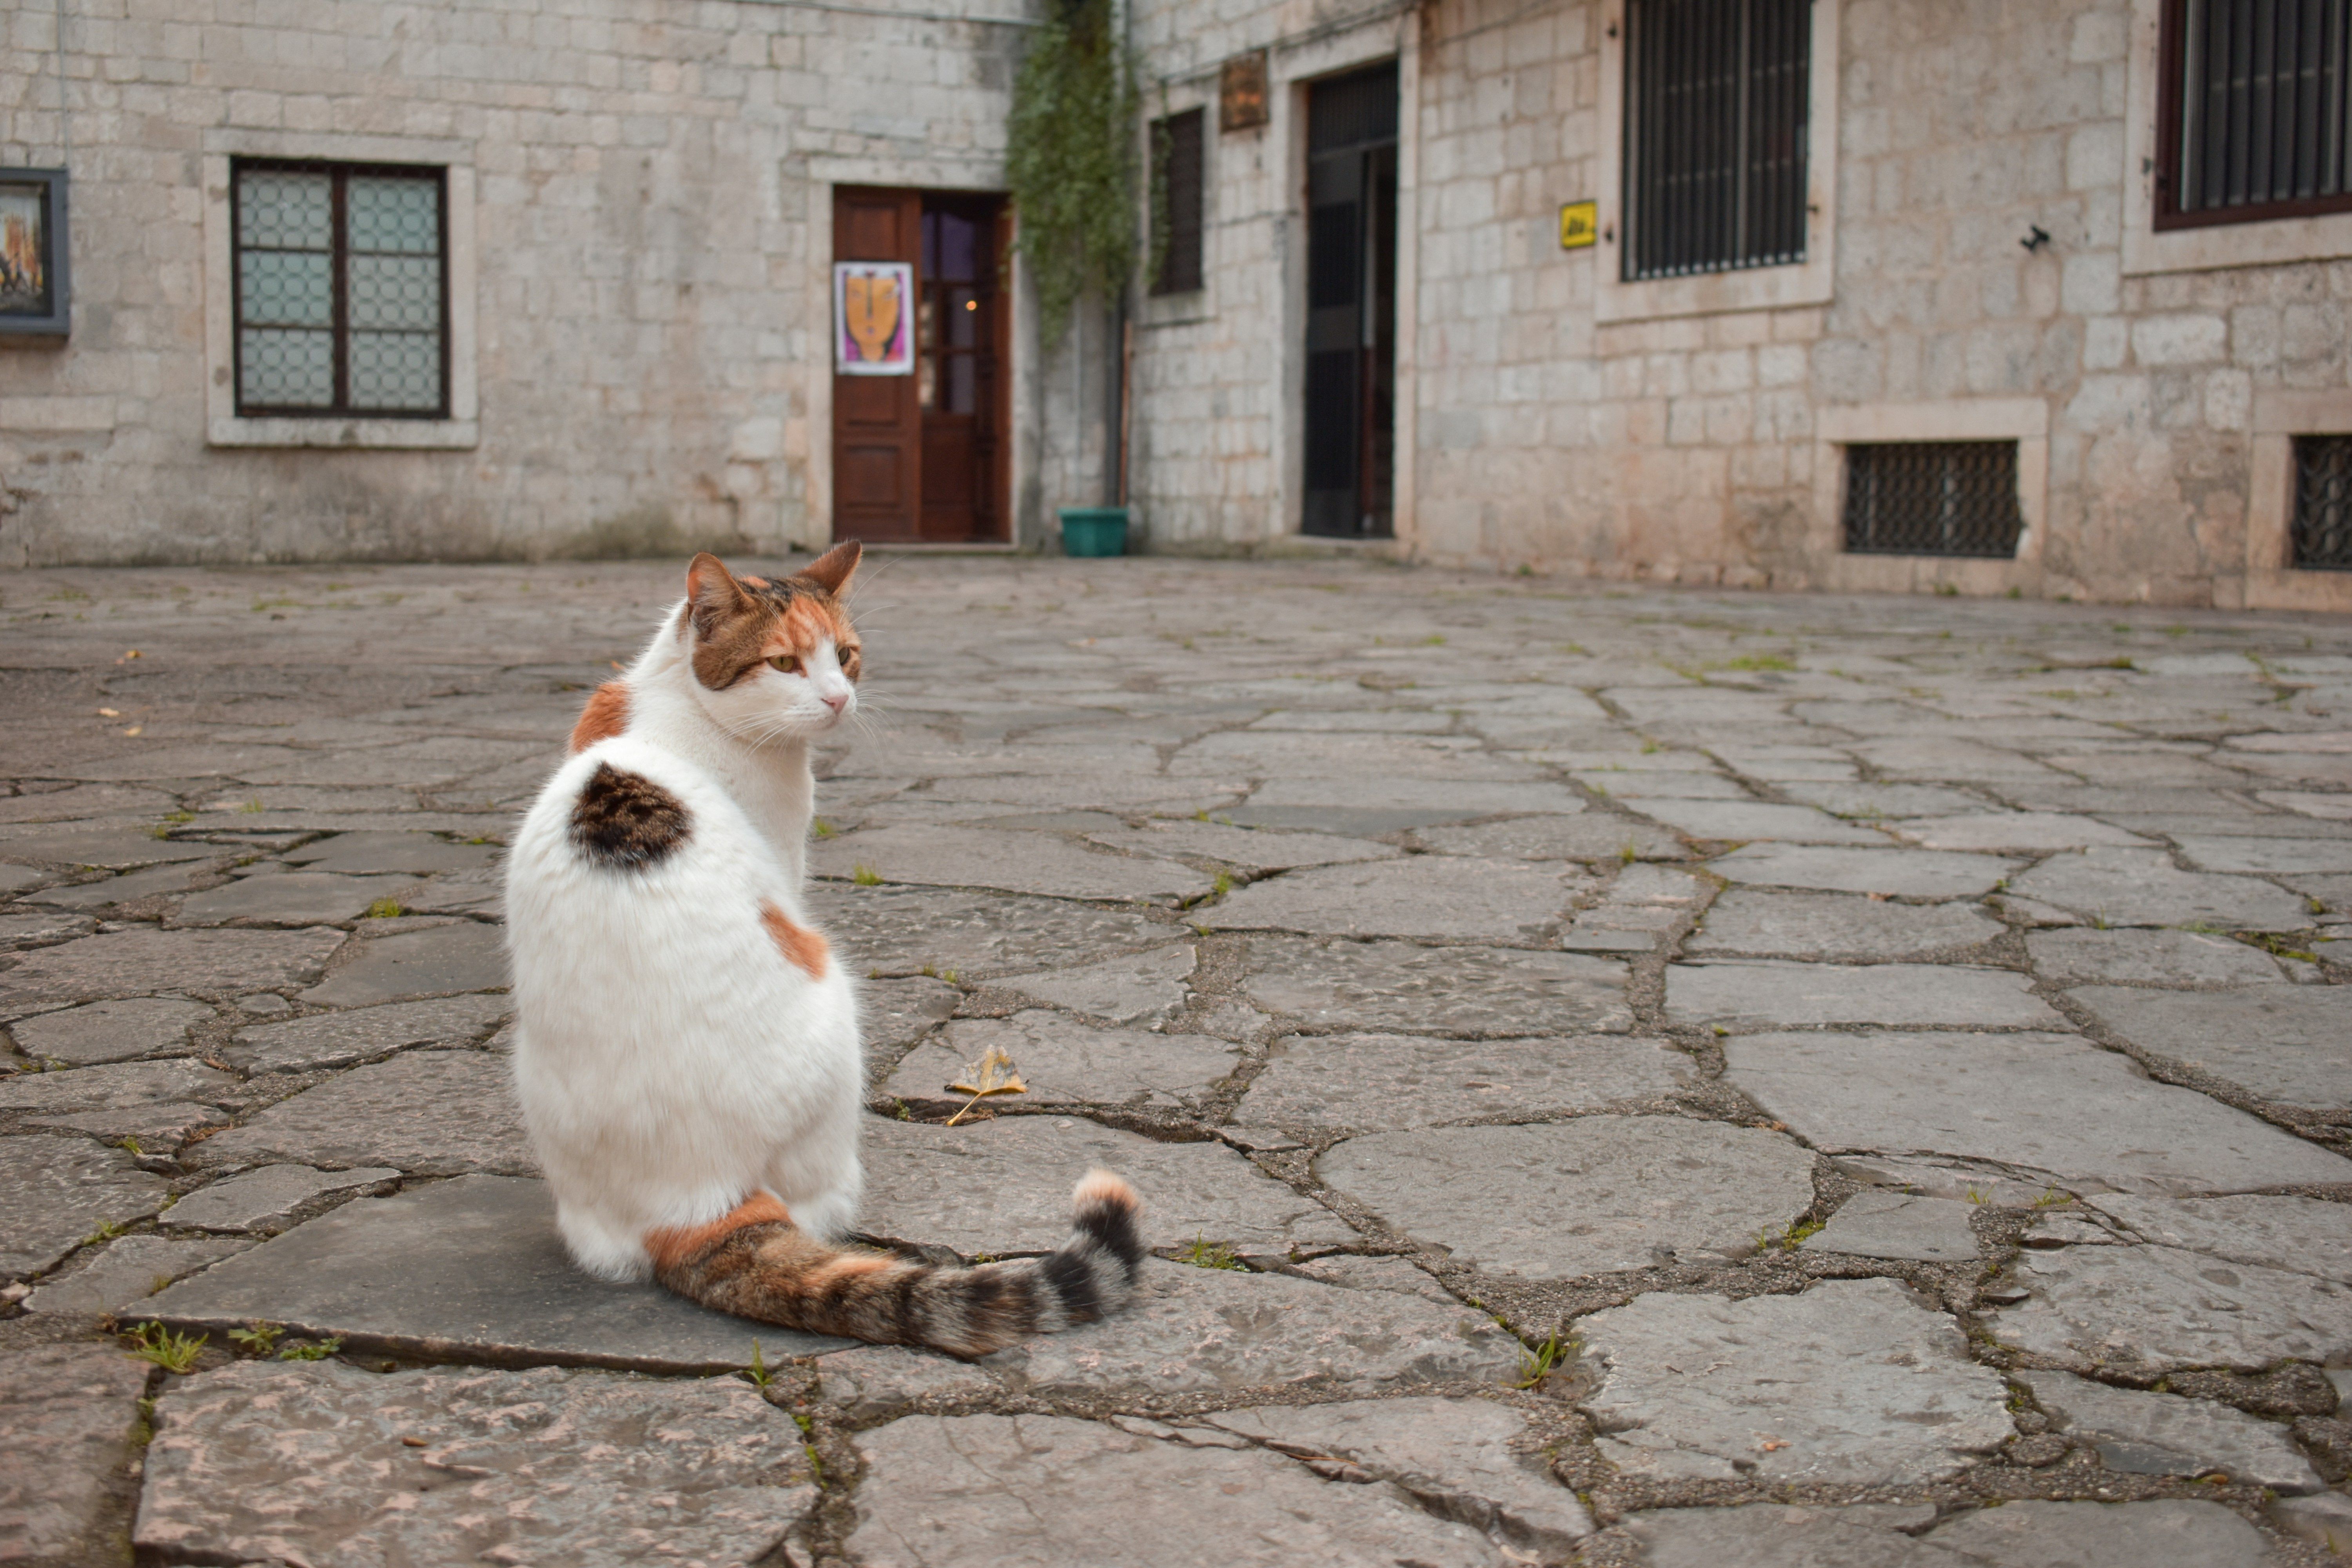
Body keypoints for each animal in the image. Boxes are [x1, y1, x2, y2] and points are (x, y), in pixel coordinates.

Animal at [506, 545, 1148, 1354]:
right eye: (783, 662)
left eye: (844, 656)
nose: (840, 700)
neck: (673, 700)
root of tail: (696, 1201)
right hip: (835, 1002)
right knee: (818, 1207)